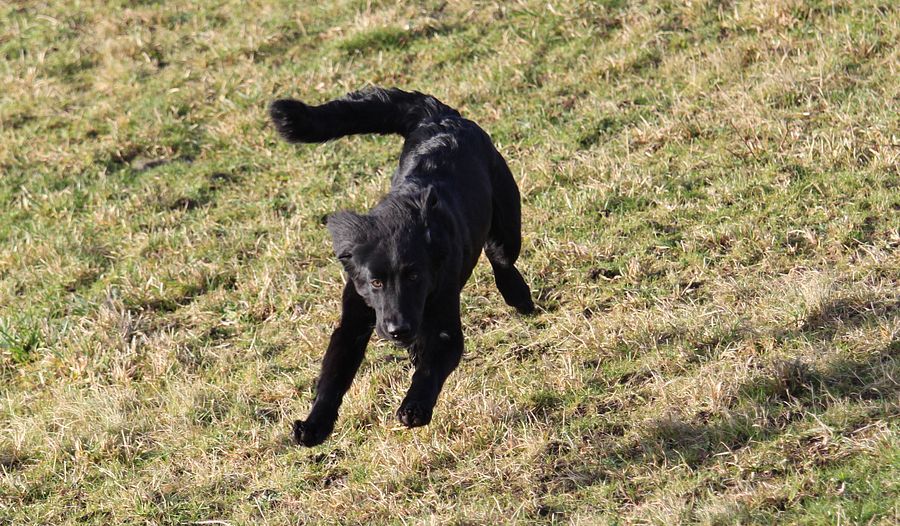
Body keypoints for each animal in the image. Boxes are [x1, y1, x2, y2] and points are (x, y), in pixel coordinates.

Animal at [269, 87, 535, 446]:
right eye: (375, 282)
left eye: (414, 276)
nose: (397, 329)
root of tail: (439, 114)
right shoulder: (354, 318)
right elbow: (334, 375)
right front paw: (314, 426)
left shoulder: (443, 316)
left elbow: (431, 367)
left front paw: (414, 407)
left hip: (506, 220)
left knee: (502, 259)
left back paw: (519, 296)